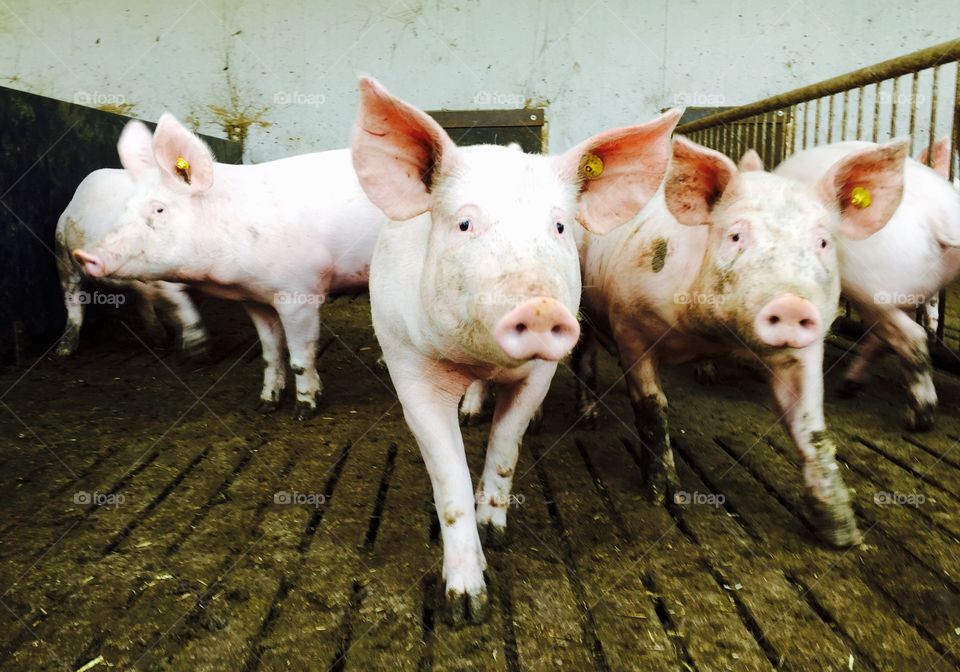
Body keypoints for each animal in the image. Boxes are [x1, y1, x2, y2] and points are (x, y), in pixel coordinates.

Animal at [55, 168, 208, 357]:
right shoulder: (161, 279)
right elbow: (179, 303)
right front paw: (198, 348)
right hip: (62, 254)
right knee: (73, 301)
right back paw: (63, 351)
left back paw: (160, 338)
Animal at [73, 113, 385, 419]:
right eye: (126, 208)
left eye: (159, 209)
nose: (83, 255)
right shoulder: (255, 299)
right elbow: (271, 353)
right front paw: (265, 405)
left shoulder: (300, 294)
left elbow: (300, 357)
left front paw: (303, 411)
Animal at [352, 75, 680, 624]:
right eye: (465, 224)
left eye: (560, 226)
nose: (542, 306)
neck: (481, 357)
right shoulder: (407, 364)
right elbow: (449, 480)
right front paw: (466, 607)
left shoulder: (538, 376)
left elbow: (506, 446)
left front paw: (495, 533)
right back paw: (470, 412)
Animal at [576, 136, 908, 549]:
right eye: (736, 236)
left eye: (823, 242)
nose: (791, 303)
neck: (714, 336)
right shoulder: (630, 325)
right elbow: (652, 407)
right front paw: (665, 497)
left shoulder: (802, 353)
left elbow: (811, 427)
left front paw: (843, 533)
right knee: (585, 358)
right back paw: (589, 420)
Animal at [774, 138, 960, 430]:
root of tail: (940, 218)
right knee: (883, 340)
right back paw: (849, 386)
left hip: (873, 289)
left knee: (913, 338)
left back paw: (918, 418)